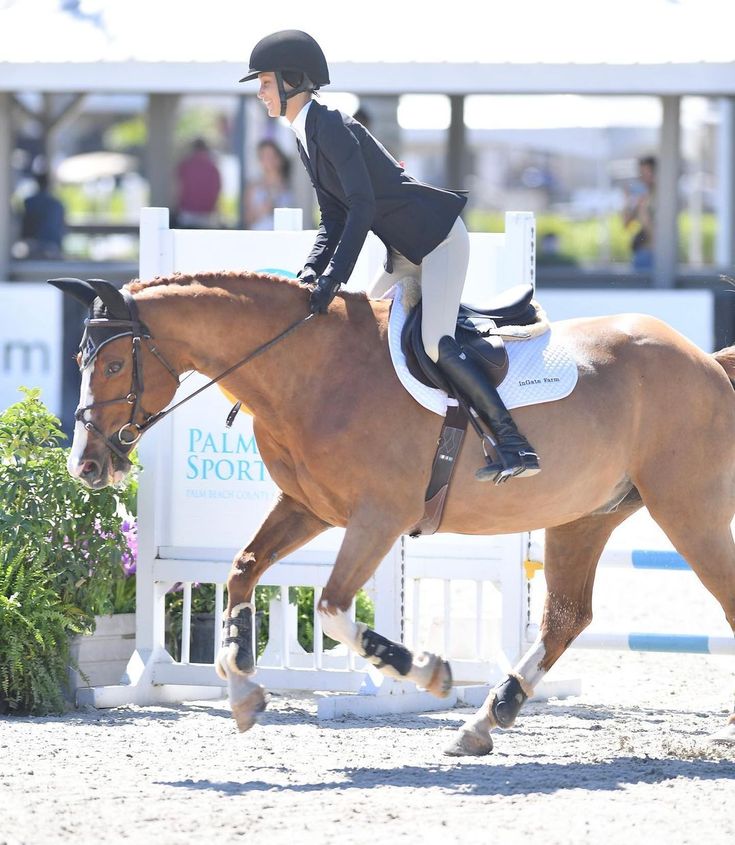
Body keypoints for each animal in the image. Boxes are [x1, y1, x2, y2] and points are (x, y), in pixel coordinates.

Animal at [53, 274, 735, 756]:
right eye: (79, 363)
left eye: (113, 364)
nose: (85, 466)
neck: (309, 372)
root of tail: (705, 362)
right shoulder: (308, 508)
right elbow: (242, 570)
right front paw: (243, 689)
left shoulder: (378, 517)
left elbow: (331, 607)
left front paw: (428, 672)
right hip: (584, 516)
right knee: (566, 619)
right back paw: (485, 721)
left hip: (688, 509)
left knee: (719, 597)